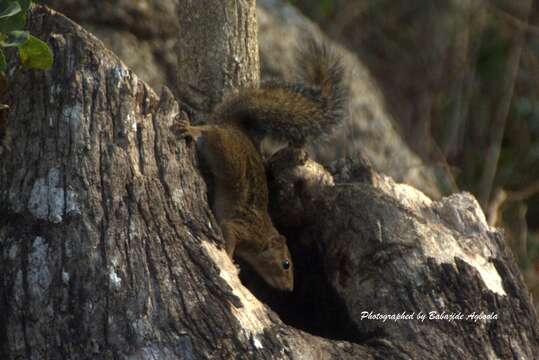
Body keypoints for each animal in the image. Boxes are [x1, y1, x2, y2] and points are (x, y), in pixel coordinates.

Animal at [175, 39, 348, 292]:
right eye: (286, 264)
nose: (288, 289)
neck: (262, 235)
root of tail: (233, 126)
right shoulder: (239, 227)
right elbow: (228, 236)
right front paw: (232, 261)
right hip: (222, 146)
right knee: (206, 130)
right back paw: (190, 129)